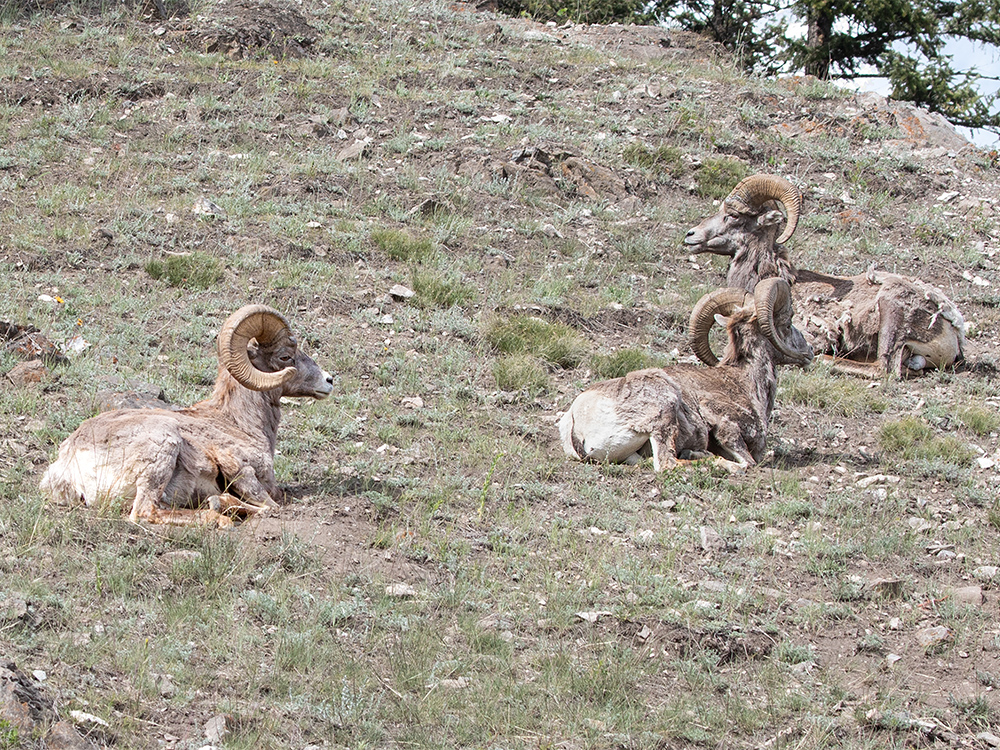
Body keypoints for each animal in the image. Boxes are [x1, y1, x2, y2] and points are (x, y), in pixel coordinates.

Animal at [40, 306, 332, 528]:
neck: (242, 424)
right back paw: (218, 516)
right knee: (145, 512)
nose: (329, 381)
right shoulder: (241, 471)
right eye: (285, 357)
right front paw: (221, 503)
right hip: (163, 446)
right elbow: (272, 506)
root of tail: (68, 463)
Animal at [560, 280, 816, 472]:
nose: (810, 351)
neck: (745, 383)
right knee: (668, 463)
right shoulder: (724, 424)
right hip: (664, 411)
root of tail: (576, 420)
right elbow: (749, 461)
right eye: (787, 322)